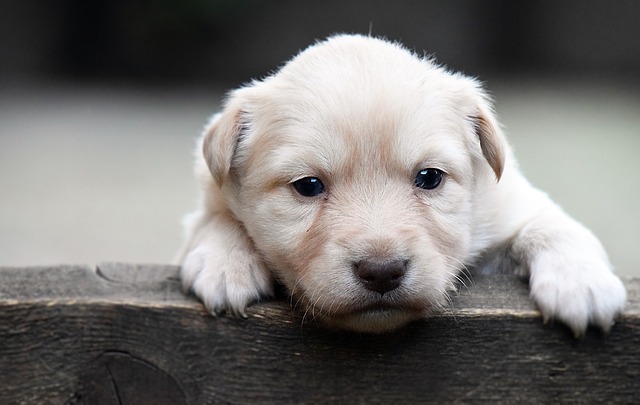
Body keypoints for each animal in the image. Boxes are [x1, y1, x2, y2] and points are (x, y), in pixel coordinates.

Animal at [178, 34, 628, 334]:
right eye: (307, 186)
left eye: (429, 178)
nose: (382, 273)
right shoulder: (209, 197)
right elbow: (215, 218)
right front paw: (225, 263)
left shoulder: (513, 205)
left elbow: (552, 226)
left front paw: (581, 283)